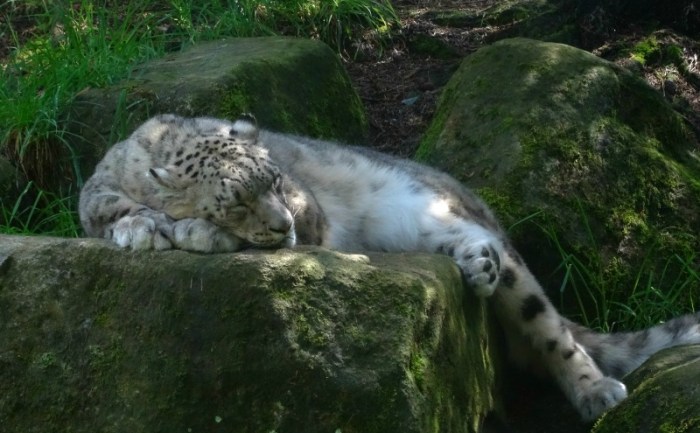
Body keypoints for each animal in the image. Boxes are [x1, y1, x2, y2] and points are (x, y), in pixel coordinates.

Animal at [79, 113, 700, 422]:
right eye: (234, 200)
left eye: (276, 179)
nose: (283, 227)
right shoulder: (99, 182)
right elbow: (102, 204)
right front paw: (142, 226)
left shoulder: (312, 213)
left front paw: (187, 231)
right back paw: (477, 264)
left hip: (466, 230)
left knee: (548, 328)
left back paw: (595, 390)